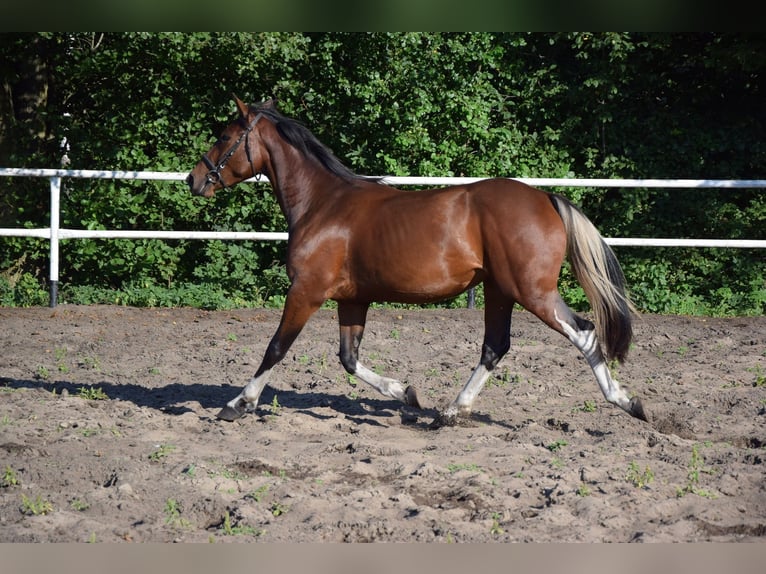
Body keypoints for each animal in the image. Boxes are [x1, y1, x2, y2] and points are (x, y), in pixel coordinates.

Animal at [186, 96, 648, 426]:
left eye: (224, 137)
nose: (194, 179)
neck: (322, 204)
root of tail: (546, 199)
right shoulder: (352, 300)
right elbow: (349, 358)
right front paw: (406, 393)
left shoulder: (306, 291)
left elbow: (276, 348)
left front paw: (238, 404)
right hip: (500, 290)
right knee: (495, 347)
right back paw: (450, 412)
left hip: (532, 292)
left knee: (584, 333)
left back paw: (626, 402)